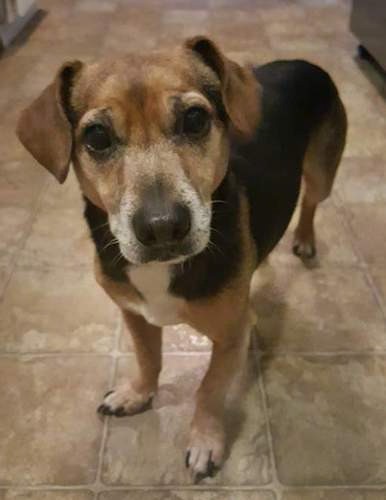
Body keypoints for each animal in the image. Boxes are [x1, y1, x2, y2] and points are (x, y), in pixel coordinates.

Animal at [15, 37, 346, 478]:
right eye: (97, 137)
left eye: (194, 119)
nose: (162, 227)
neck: (162, 270)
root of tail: (303, 62)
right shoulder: (134, 314)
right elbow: (148, 358)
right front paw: (137, 394)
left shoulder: (229, 336)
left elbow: (209, 390)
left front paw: (205, 440)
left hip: (323, 173)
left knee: (310, 201)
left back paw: (305, 239)